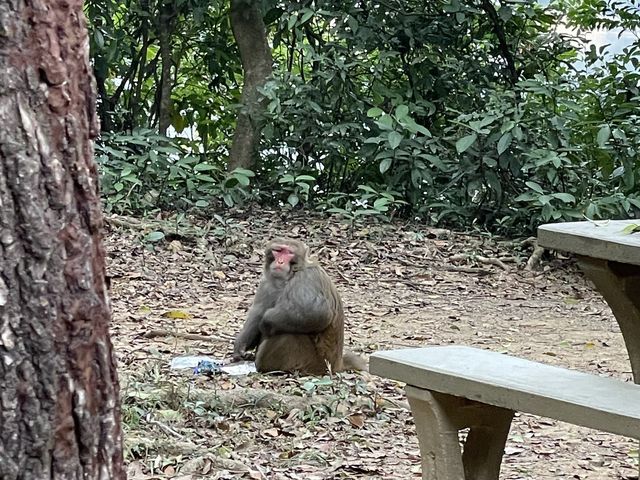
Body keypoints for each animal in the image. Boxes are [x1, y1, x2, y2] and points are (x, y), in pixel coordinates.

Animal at [234, 238, 364, 376]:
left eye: (289, 253)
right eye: (278, 250)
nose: (280, 261)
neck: (289, 275)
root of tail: (338, 365)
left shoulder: (306, 277)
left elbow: (319, 312)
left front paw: (265, 323)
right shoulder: (267, 281)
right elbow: (258, 310)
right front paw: (241, 345)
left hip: (314, 362)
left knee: (286, 333)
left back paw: (264, 366)